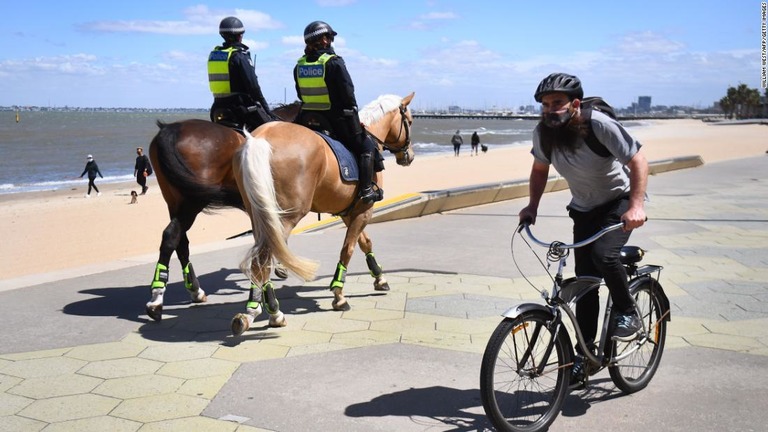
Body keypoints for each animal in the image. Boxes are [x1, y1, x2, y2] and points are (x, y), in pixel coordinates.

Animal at [144, 102, 300, 320]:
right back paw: (157, 299)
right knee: (171, 235)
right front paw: (280, 267)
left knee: (180, 241)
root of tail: (171, 129)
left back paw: (194, 290)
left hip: (174, 200)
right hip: (193, 201)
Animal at [231, 93, 416, 336]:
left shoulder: (350, 211)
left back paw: (258, 310)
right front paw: (339, 295)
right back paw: (267, 312)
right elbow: (348, 249)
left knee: (261, 260)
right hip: (284, 219)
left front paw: (379, 277)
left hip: (260, 216)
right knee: (263, 261)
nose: (409, 156)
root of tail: (259, 138)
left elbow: (365, 242)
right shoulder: (364, 210)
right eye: (410, 121)